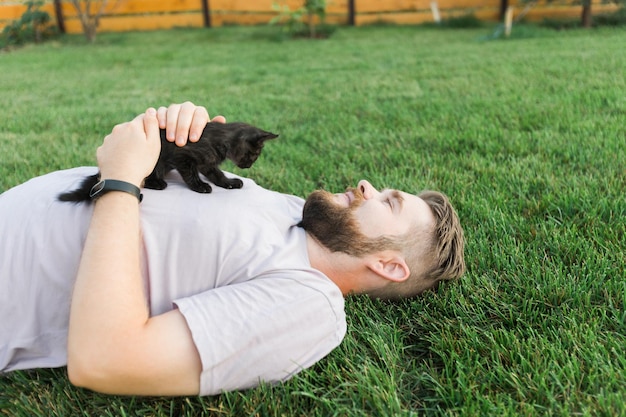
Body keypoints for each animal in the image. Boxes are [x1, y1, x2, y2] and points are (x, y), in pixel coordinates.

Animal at [58, 121, 278, 202]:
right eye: (253, 155)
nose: (249, 165)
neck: (220, 140)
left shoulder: (208, 163)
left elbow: (217, 174)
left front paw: (229, 183)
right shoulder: (182, 157)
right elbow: (191, 175)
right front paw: (200, 186)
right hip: (155, 161)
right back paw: (158, 183)